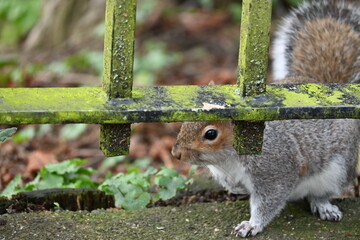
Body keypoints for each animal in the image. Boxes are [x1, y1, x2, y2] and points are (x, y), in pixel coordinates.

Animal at [171, 0, 360, 236]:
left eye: (211, 134)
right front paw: (236, 188)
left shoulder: (274, 168)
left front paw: (252, 224)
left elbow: (268, 200)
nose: (176, 153)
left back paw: (324, 206)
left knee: (319, 194)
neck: (227, 160)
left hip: (338, 171)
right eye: (186, 121)